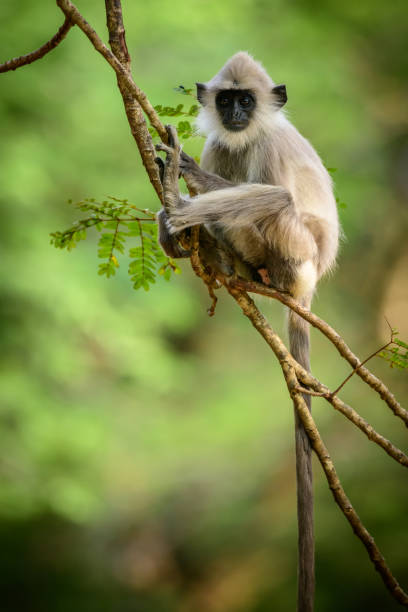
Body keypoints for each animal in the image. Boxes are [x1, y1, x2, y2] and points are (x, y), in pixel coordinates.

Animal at [156, 52, 342, 608]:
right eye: (225, 99)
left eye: (246, 99)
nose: (235, 113)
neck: (248, 134)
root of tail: (307, 285)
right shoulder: (223, 141)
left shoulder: (269, 144)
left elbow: (276, 190)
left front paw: (181, 185)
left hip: (295, 251)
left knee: (274, 202)